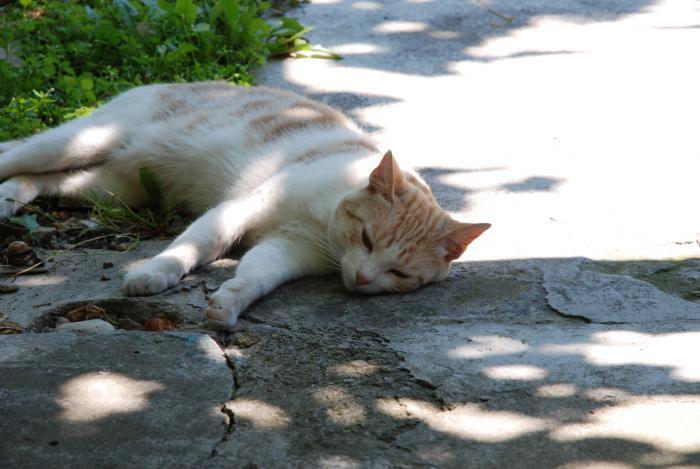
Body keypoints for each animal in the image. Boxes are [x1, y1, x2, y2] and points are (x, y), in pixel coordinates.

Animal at [0, 81, 492, 330]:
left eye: (400, 274)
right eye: (368, 239)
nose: (363, 279)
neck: (322, 220)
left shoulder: (288, 250)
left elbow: (255, 275)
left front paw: (229, 304)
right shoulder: (241, 208)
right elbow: (193, 247)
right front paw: (154, 273)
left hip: (112, 188)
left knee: (47, 181)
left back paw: (11, 197)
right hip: (81, 142)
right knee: (16, 151)